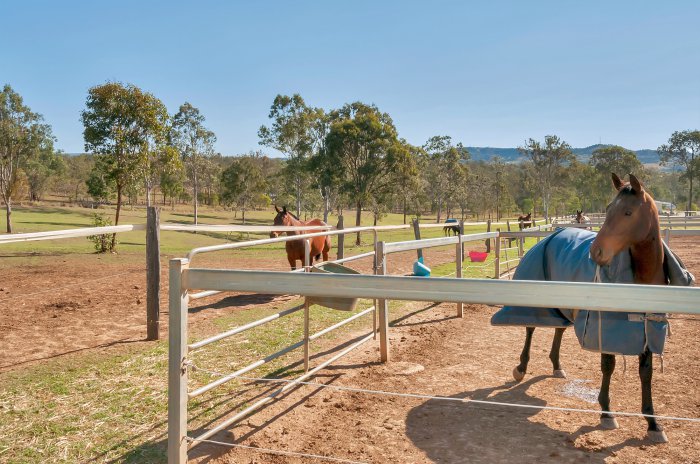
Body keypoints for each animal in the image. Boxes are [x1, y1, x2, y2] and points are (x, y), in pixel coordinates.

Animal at [496, 173, 694, 443]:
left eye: (628, 212)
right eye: (608, 209)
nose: (596, 252)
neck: (641, 280)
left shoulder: (648, 328)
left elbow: (646, 372)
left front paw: (653, 424)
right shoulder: (605, 325)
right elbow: (608, 366)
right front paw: (607, 413)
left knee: (559, 329)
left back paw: (557, 366)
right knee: (530, 328)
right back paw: (521, 368)